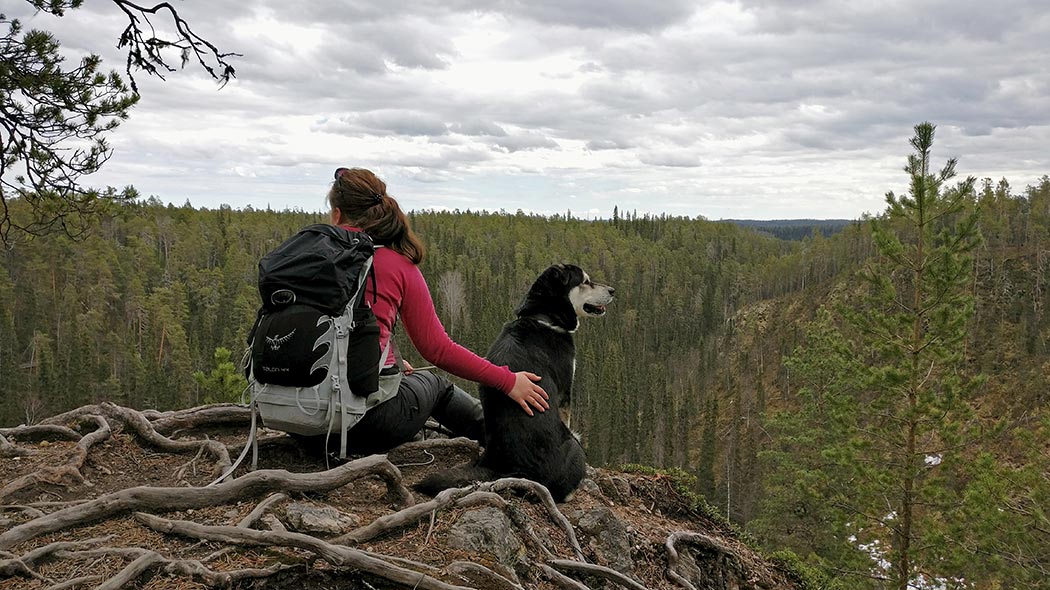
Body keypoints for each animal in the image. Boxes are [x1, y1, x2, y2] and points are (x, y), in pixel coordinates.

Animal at [413, 264, 613, 497]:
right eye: (585, 281)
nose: (613, 290)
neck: (543, 317)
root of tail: (513, 470)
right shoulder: (565, 392)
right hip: (574, 449)